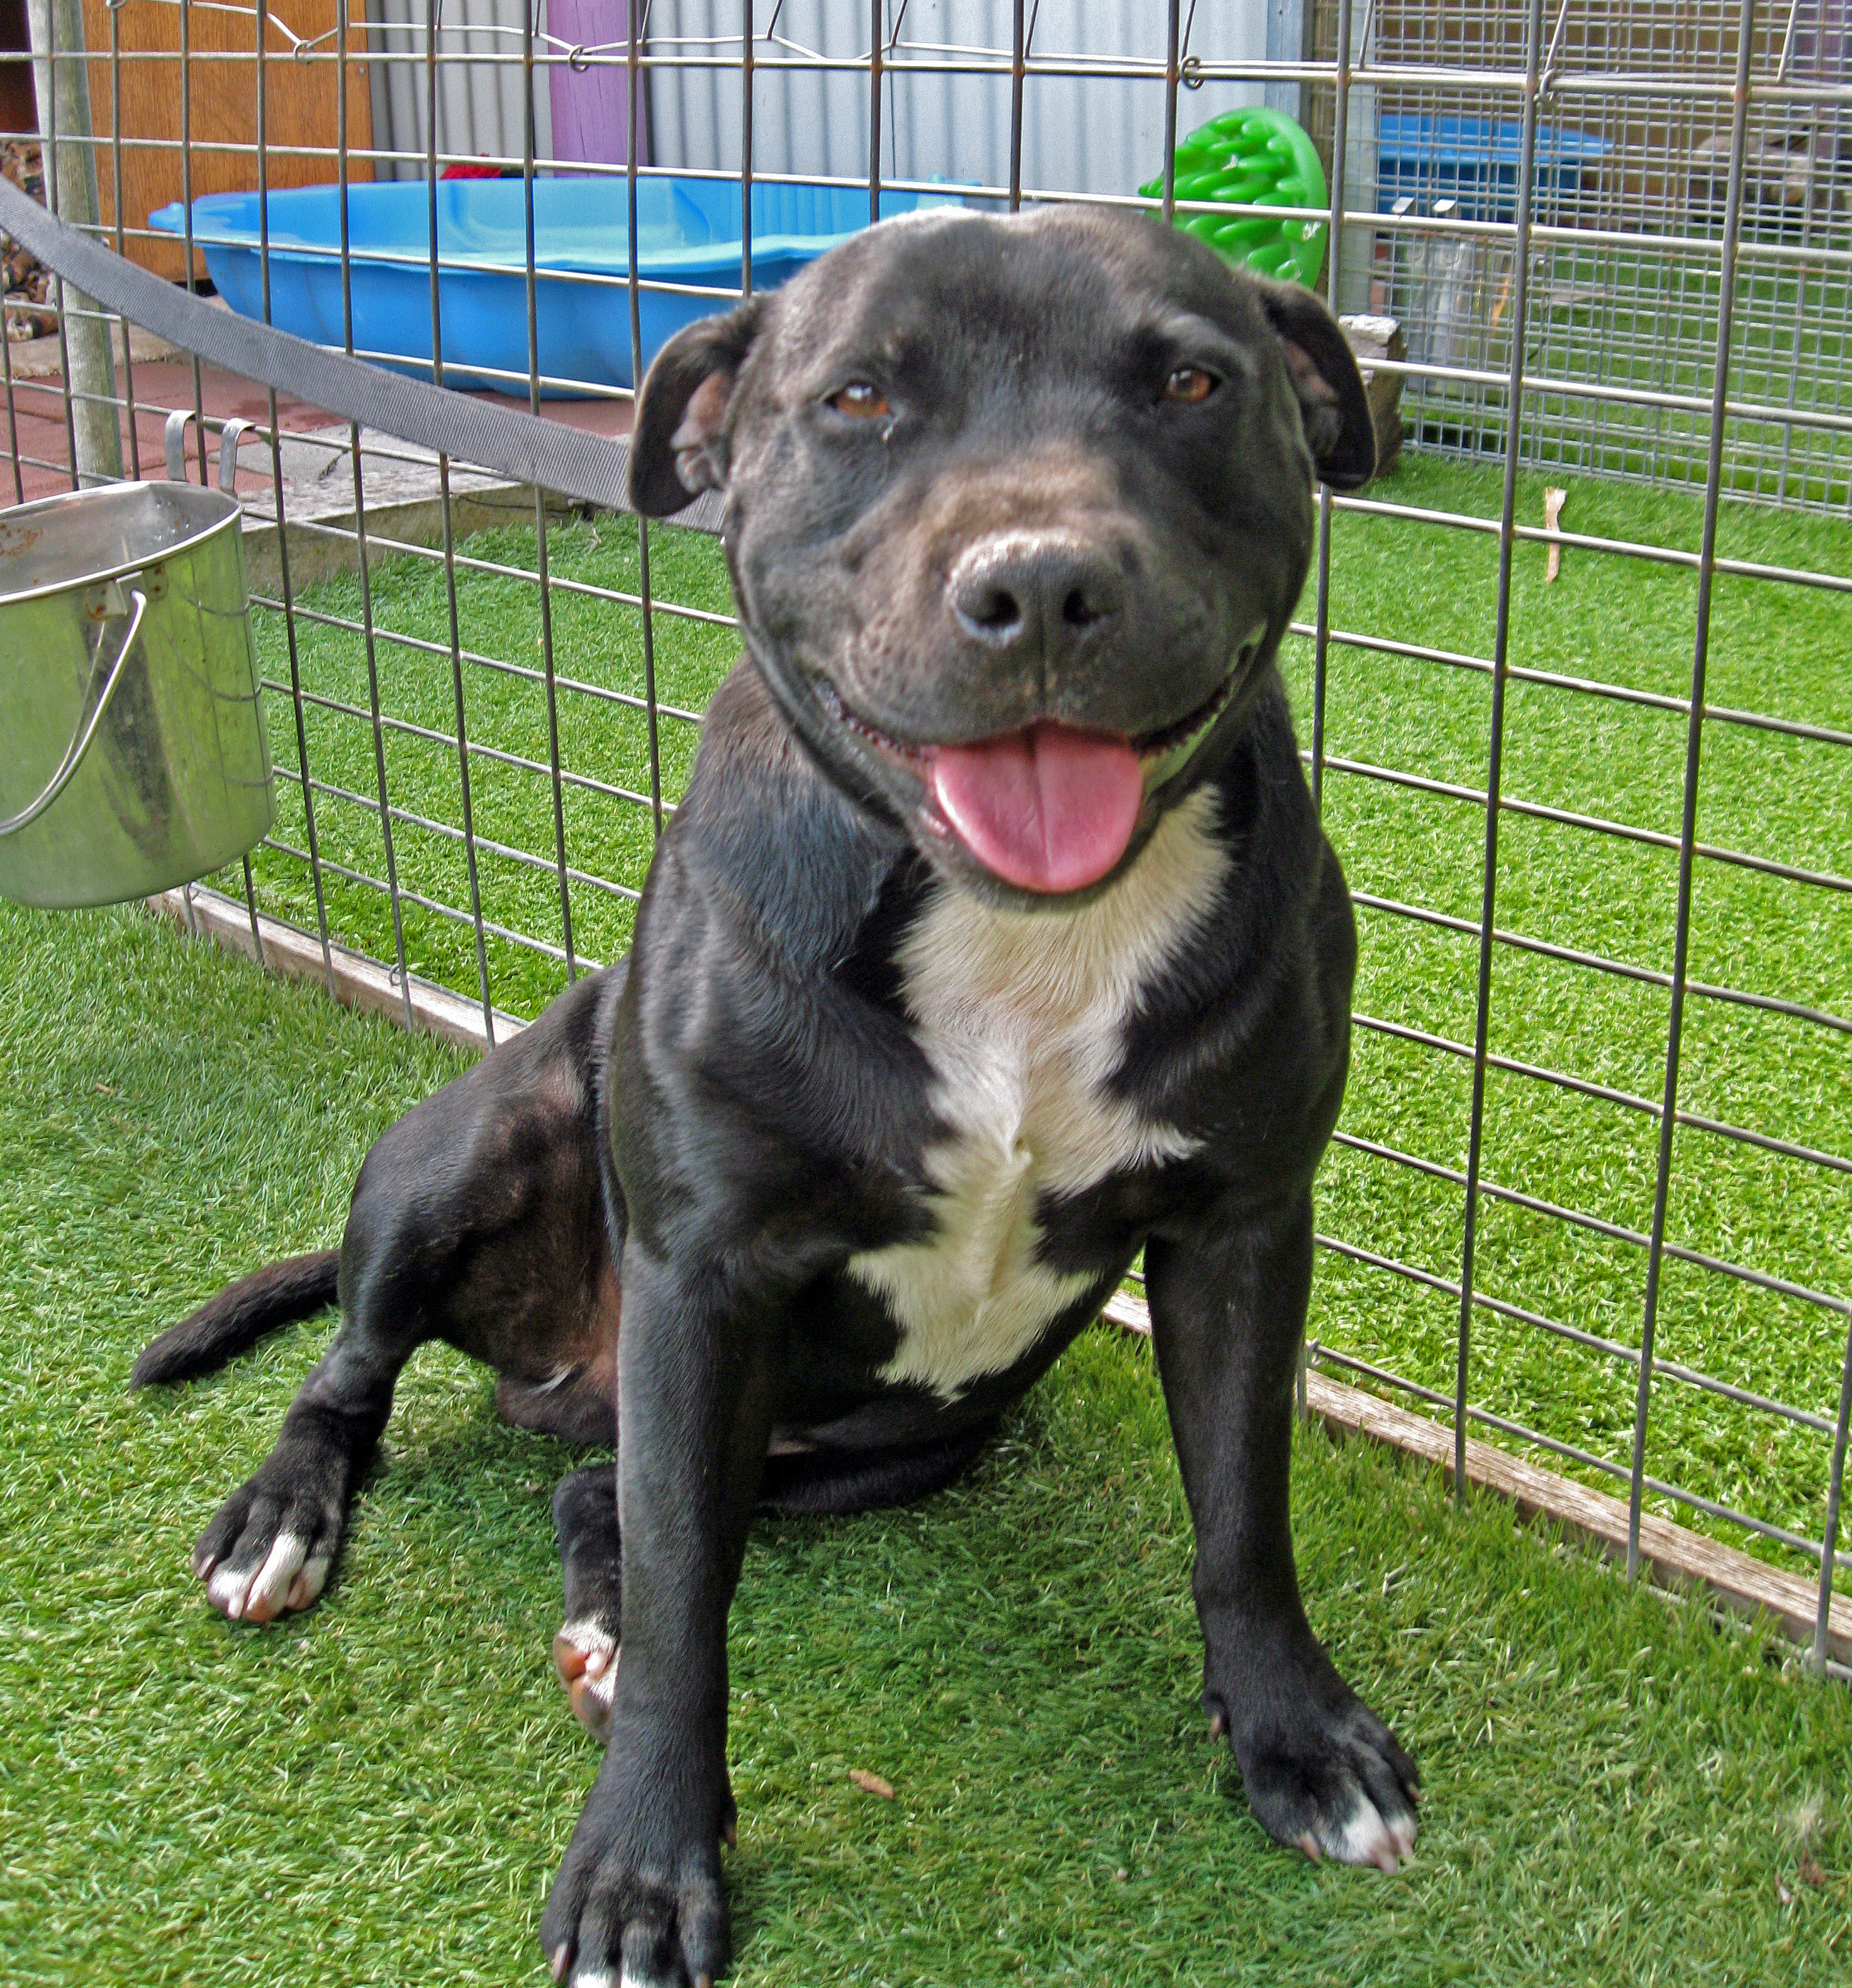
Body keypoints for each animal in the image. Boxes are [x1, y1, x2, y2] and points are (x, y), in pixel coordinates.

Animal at [133, 203, 1414, 1987]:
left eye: (1189, 381)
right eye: (859, 398)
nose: (1038, 580)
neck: (1013, 931)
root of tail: (557, 1382)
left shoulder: (1239, 1225)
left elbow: (1242, 1514)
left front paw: (1294, 1733)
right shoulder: (705, 1273)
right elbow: (693, 1612)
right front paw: (641, 1862)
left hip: (904, 1436)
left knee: (605, 1491)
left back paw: (588, 1600)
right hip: (477, 1144)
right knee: (356, 1365)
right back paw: (283, 1514)